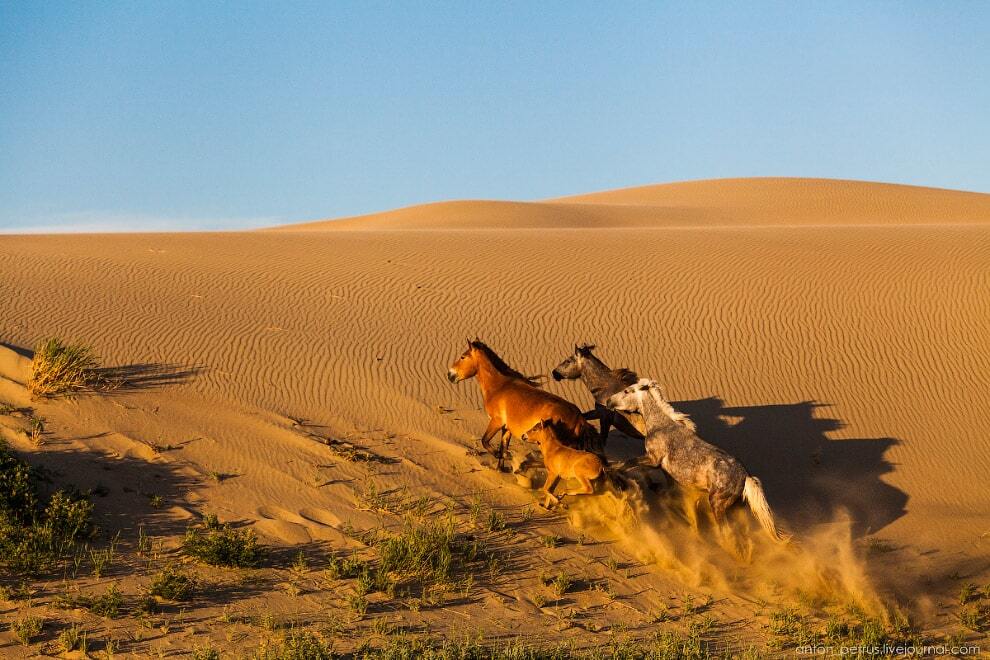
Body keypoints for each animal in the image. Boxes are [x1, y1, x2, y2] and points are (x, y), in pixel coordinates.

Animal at [450, 340, 596, 470]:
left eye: (462, 357)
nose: (450, 375)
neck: (499, 386)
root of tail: (579, 418)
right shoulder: (506, 428)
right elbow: (503, 446)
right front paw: (501, 467)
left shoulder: (496, 422)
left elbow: (485, 441)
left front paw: (500, 455)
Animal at [604, 376, 792, 540]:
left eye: (627, 390)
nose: (608, 401)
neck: (661, 426)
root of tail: (746, 476)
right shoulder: (666, 471)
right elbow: (667, 488)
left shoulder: (652, 459)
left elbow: (628, 462)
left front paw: (610, 470)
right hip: (734, 507)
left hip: (717, 504)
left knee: (727, 532)